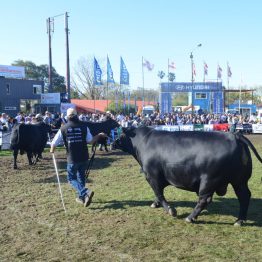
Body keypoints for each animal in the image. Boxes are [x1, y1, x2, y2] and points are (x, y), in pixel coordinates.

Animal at [114, 126, 262, 225]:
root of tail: (234, 135)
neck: (143, 142)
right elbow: (158, 193)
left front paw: (170, 210)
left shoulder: (152, 176)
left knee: (204, 199)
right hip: (240, 181)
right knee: (244, 196)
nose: (112, 143)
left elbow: (159, 193)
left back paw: (190, 217)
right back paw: (240, 220)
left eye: (120, 134)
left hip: (209, 181)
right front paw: (155, 204)